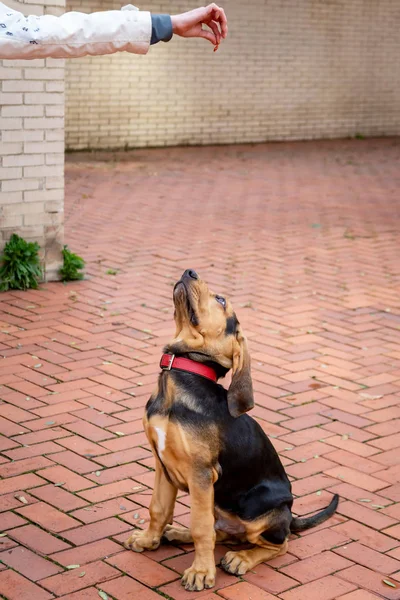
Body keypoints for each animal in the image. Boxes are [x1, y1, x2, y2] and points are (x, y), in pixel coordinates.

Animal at [124, 270, 338, 592]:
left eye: (222, 300)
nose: (189, 271)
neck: (179, 380)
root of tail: (291, 516)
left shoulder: (201, 474)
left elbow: (201, 528)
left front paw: (201, 572)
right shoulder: (162, 465)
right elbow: (158, 509)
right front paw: (149, 540)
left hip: (255, 506)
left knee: (279, 543)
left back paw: (240, 559)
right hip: (217, 501)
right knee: (223, 531)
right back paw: (178, 533)